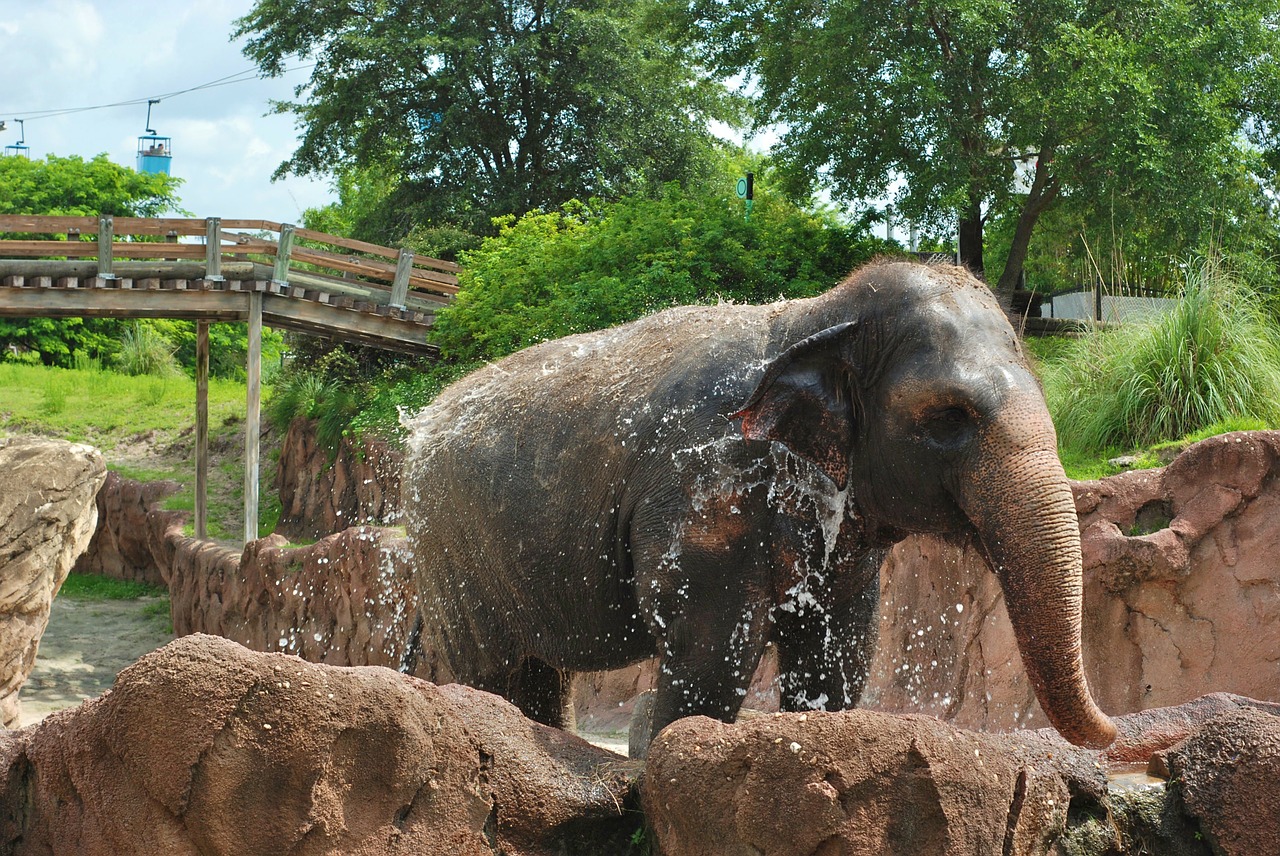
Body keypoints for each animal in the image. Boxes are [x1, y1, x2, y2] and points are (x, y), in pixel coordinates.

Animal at [404, 258, 1116, 752]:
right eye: (949, 417)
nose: (1116, 735)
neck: (818, 316)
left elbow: (836, 659)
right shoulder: (705, 488)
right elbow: (710, 654)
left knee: (539, 670)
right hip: (451, 546)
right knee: (491, 665)